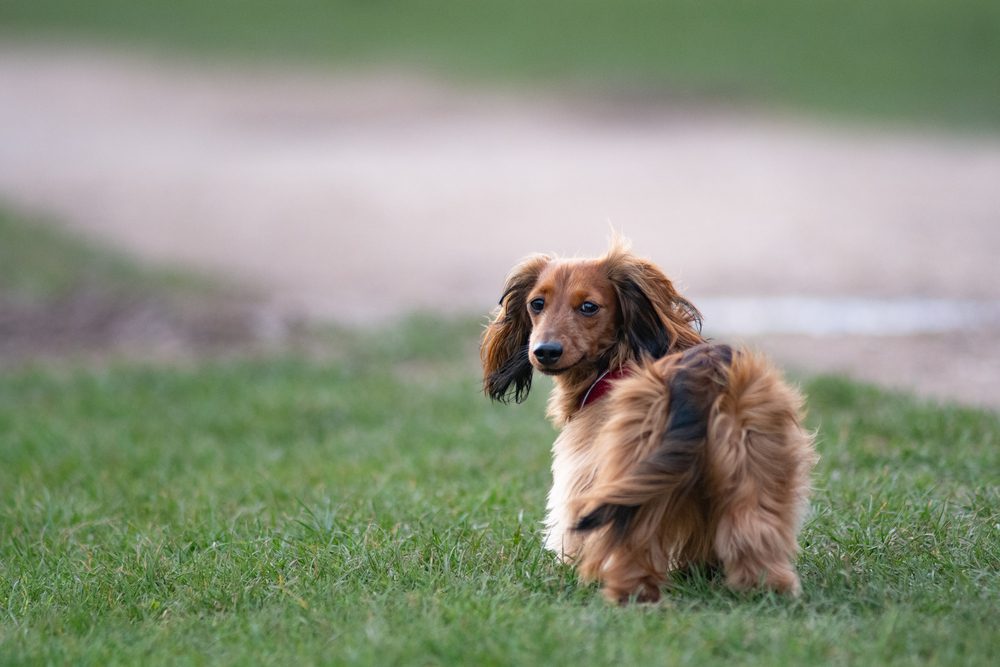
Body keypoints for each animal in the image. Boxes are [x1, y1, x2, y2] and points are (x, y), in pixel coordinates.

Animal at [480, 239, 816, 604]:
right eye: (537, 304)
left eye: (588, 307)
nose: (545, 351)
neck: (619, 359)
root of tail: (699, 376)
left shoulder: (584, 472)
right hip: (753, 471)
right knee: (756, 535)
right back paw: (766, 592)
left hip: (634, 482)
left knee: (631, 549)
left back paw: (628, 596)